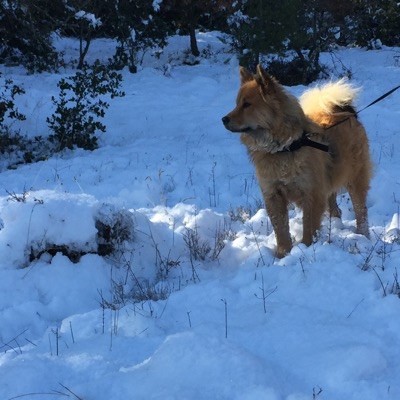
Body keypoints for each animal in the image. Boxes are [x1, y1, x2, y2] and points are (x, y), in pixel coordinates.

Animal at [222, 66, 372, 258]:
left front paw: (306, 249)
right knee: (334, 205)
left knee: (361, 210)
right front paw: (282, 254)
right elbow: (281, 229)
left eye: (247, 104)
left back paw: (363, 236)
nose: (224, 119)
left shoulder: (311, 193)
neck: (284, 147)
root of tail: (345, 112)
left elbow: (309, 226)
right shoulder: (273, 194)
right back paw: (336, 223)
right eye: (237, 103)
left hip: (354, 178)